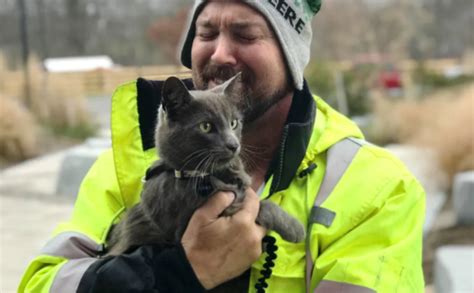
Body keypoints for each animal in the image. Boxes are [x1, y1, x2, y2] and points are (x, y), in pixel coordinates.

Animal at [106, 73, 306, 290]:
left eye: (234, 123)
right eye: (206, 126)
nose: (233, 145)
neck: (204, 175)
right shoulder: (189, 220)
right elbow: (261, 204)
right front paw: (296, 228)